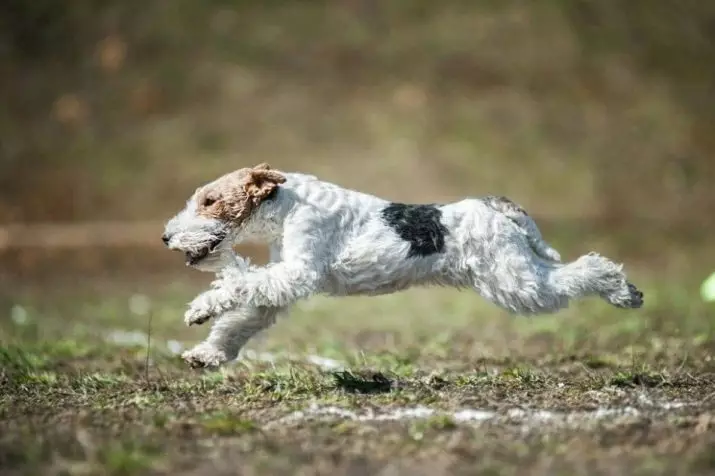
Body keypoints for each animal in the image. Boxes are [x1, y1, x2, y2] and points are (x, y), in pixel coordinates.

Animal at [162, 164, 644, 368]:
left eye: (209, 200)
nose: (166, 237)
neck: (288, 205)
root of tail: (495, 207)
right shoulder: (281, 286)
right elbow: (241, 317)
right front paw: (207, 353)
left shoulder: (297, 274)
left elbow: (237, 285)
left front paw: (200, 307)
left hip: (515, 281)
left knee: (589, 268)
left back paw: (625, 291)